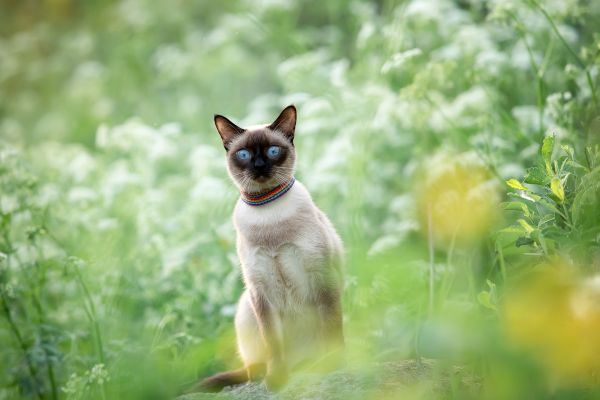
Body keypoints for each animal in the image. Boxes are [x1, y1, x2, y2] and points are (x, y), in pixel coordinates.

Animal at [199, 104, 344, 392]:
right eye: (244, 154)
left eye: (273, 151)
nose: (259, 166)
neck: (268, 213)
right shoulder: (261, 290)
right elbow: (273, 344)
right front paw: (276, 379)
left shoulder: (322, 277)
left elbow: (331, 329)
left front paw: (331, 365)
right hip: (246, 306)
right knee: (251, 367)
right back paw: (270, 371)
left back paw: (310, 365)